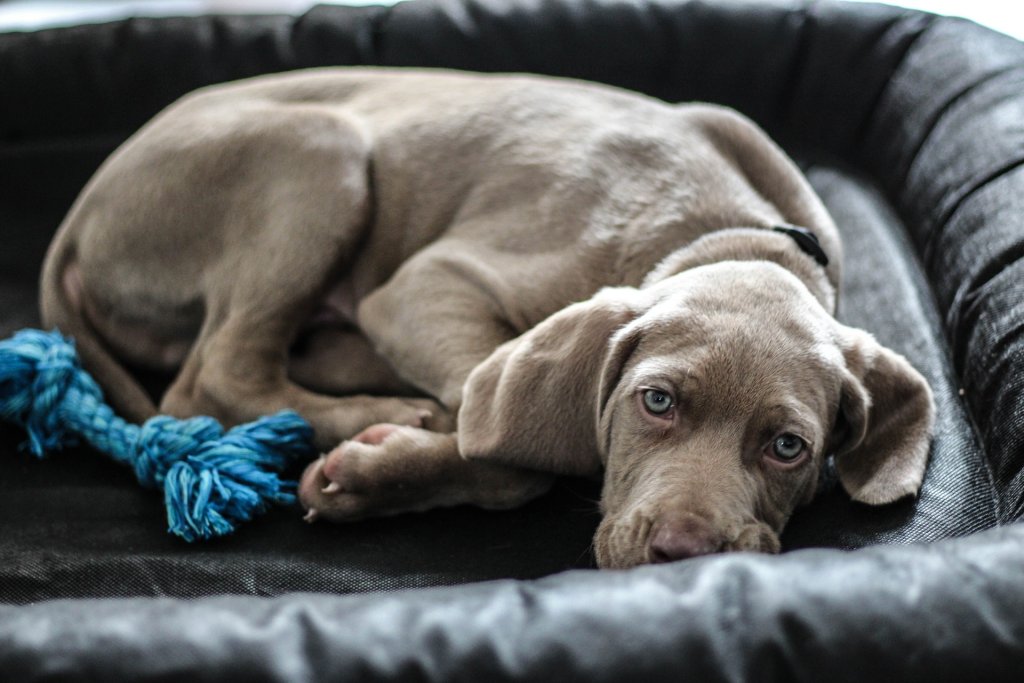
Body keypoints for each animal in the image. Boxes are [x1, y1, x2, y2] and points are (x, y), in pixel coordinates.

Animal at [41, 66, 937, 569]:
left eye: (789, 447)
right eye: (656, 401)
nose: (682, 554)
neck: (729, 232)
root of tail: (78, 216)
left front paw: (382, 470)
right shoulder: (427, 285)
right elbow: (507, 445)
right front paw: (377, 470)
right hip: (320, 149)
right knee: (214, 376)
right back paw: (382, 410)